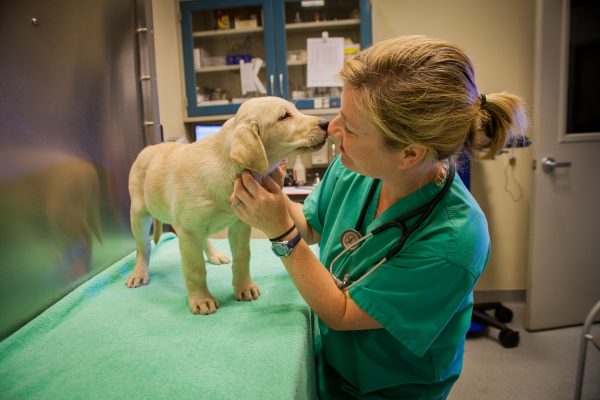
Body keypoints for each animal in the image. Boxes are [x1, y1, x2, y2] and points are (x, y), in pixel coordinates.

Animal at [125, 95, 328, 314]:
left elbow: (243, 256)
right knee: (143, 247)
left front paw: (244, 287)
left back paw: (215, 255)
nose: (326, 123)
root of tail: (149, 148)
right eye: (284, 116)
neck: (228, 166)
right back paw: (139, 273)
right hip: (139, 213)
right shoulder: (189, 230)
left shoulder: (239, 225)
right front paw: (201, 299)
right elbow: (195, 268)